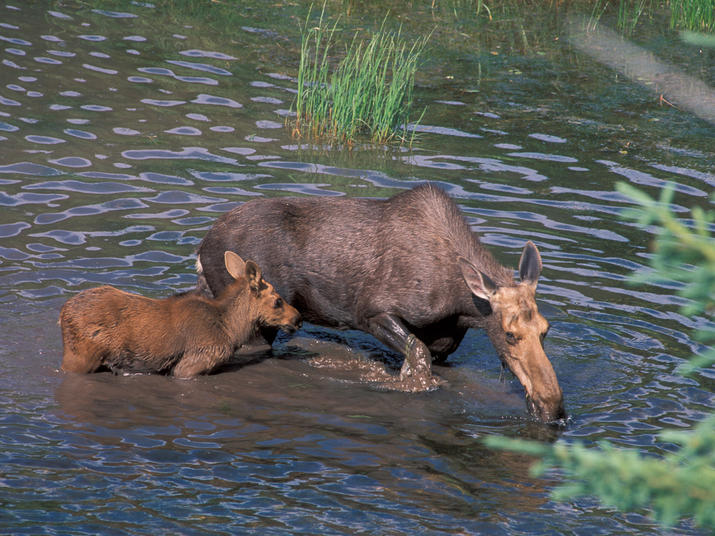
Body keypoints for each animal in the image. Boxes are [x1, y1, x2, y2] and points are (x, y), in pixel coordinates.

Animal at [57, 250, 300, 376]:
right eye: (278, 301)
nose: (297, 318)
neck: (231, 329)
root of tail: (62, 314)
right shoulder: (191, 365)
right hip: (79, 357)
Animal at [196, 184, 564, 422]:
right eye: (510, 334)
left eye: (545, 330)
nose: (553, 405)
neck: (462, 306)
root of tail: (202, 246)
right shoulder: (372, 312)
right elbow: (417, 356)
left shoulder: (444, 345)